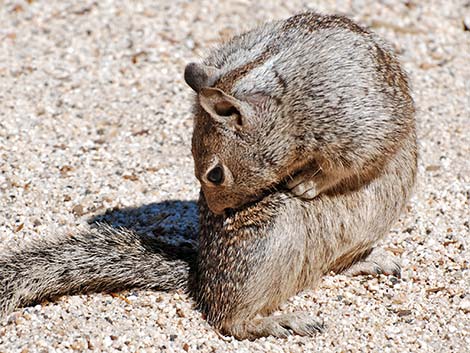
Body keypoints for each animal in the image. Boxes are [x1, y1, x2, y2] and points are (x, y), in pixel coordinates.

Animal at [2, 12, 414, 340]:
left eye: (215, 174)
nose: (218, 212)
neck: (284, 109)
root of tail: (200, 271)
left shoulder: (359, 125)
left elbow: (352, 164)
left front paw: (307, 182)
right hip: (265, 248)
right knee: (227, 318)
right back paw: (280, 321)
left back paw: (367, 262)